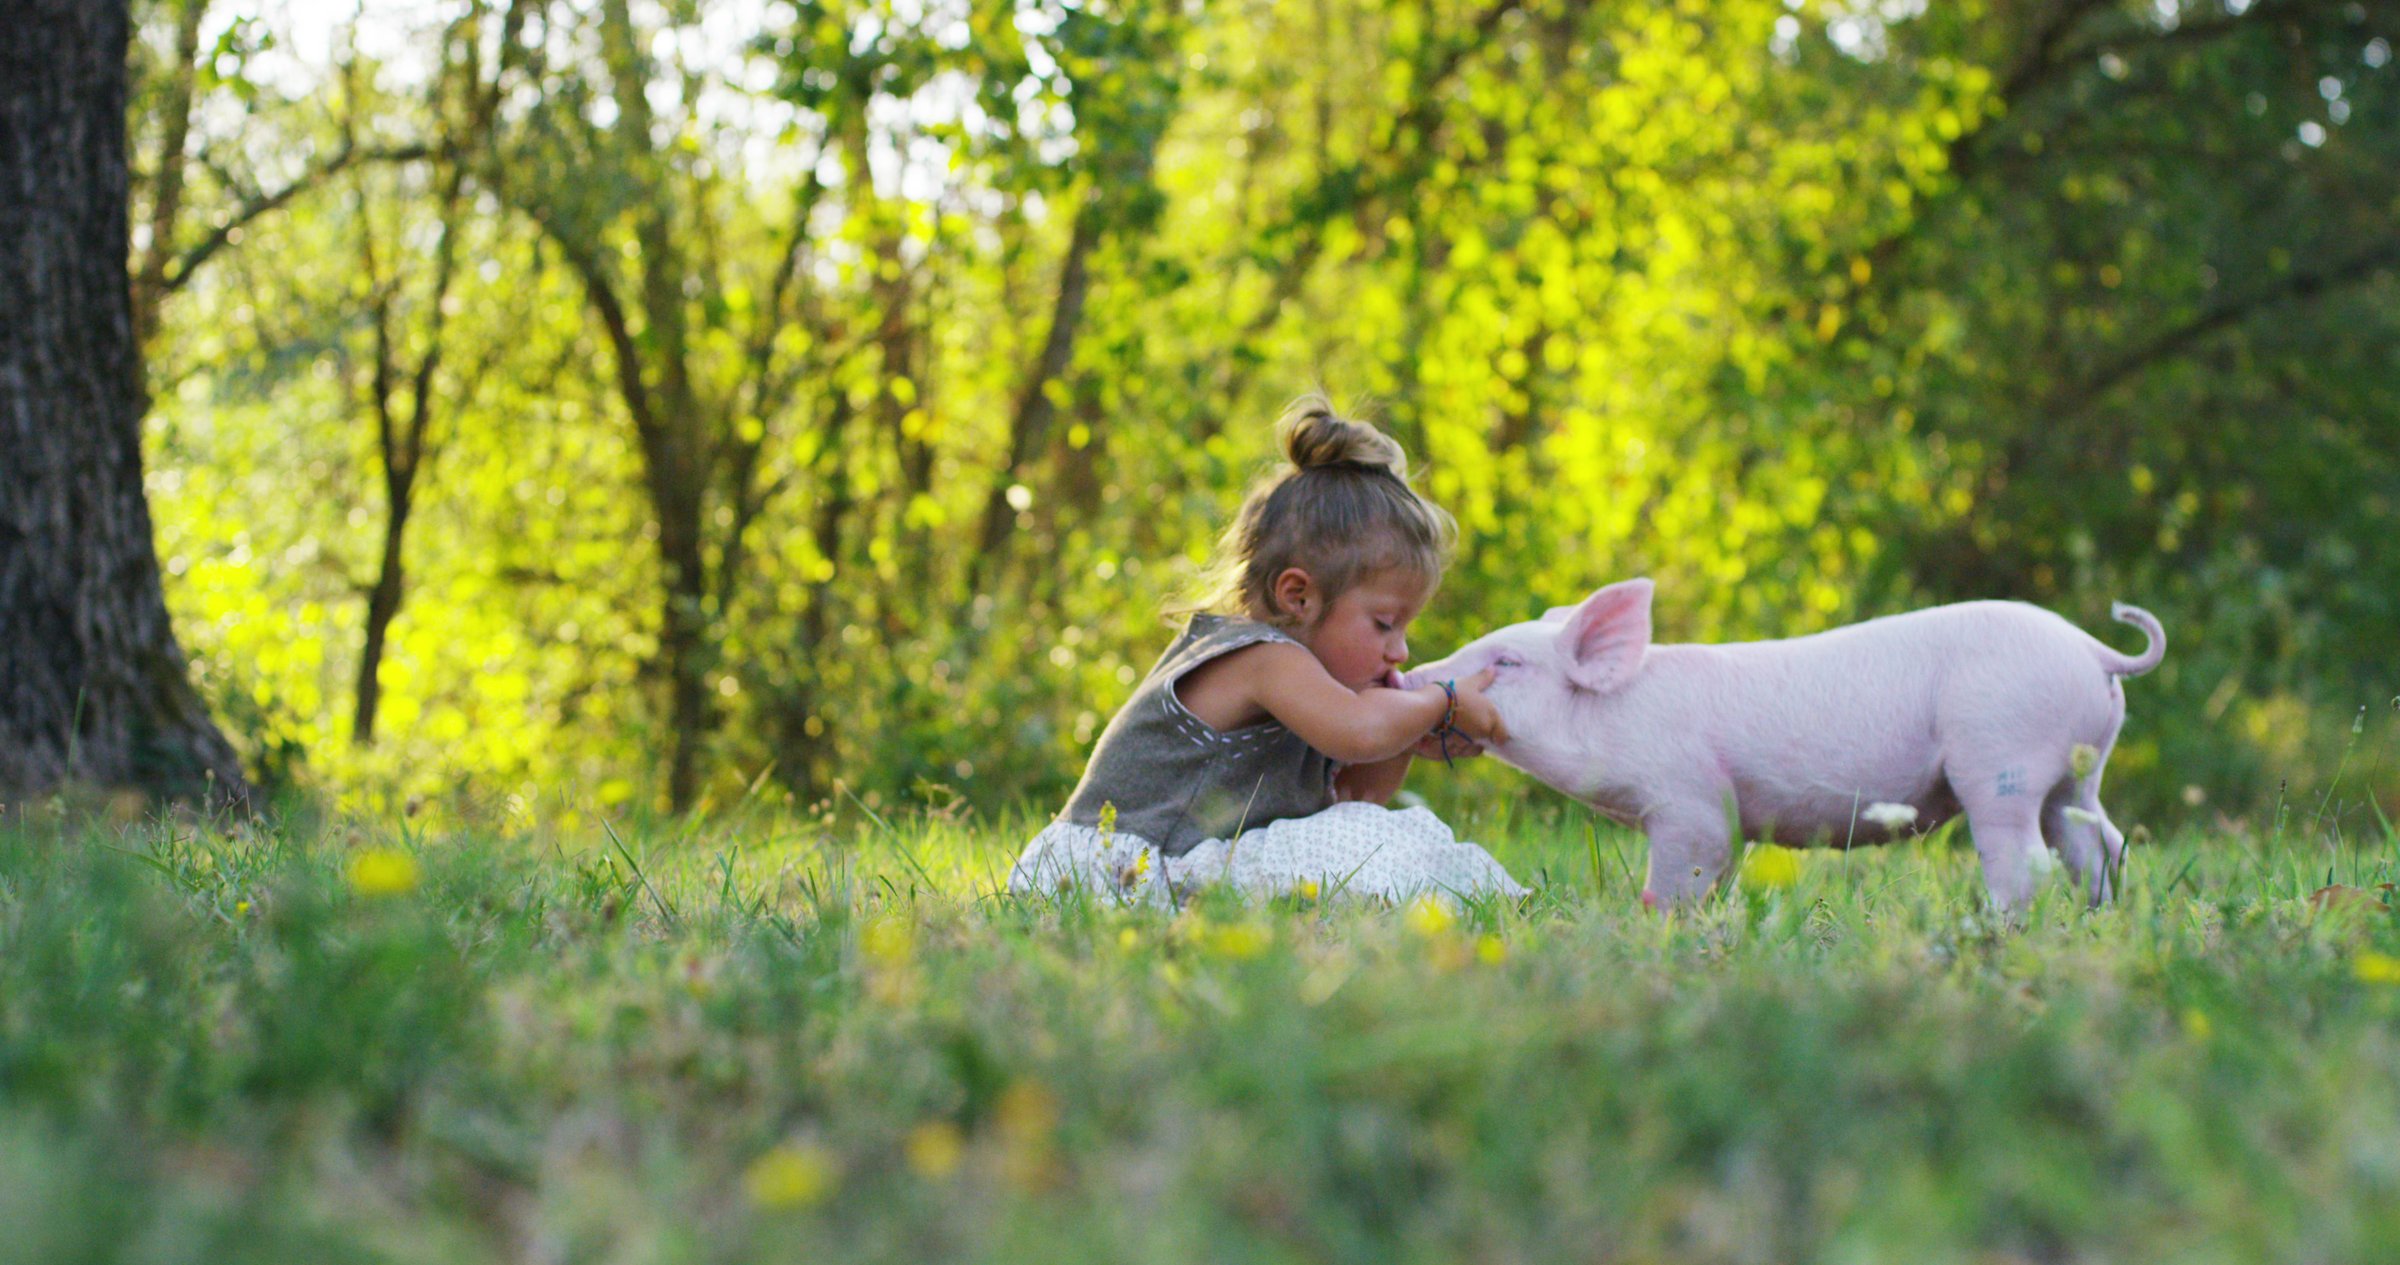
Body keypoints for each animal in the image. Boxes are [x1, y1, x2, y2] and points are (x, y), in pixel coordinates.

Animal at [1401, 579, 2165, 911]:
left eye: (1507, 661)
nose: (1409, 674)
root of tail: (2094, 649)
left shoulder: (1687, 799)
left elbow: (1687, 869)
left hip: (2003, 754)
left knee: (2024, 857)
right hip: (2075, 774)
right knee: (2101, 843)